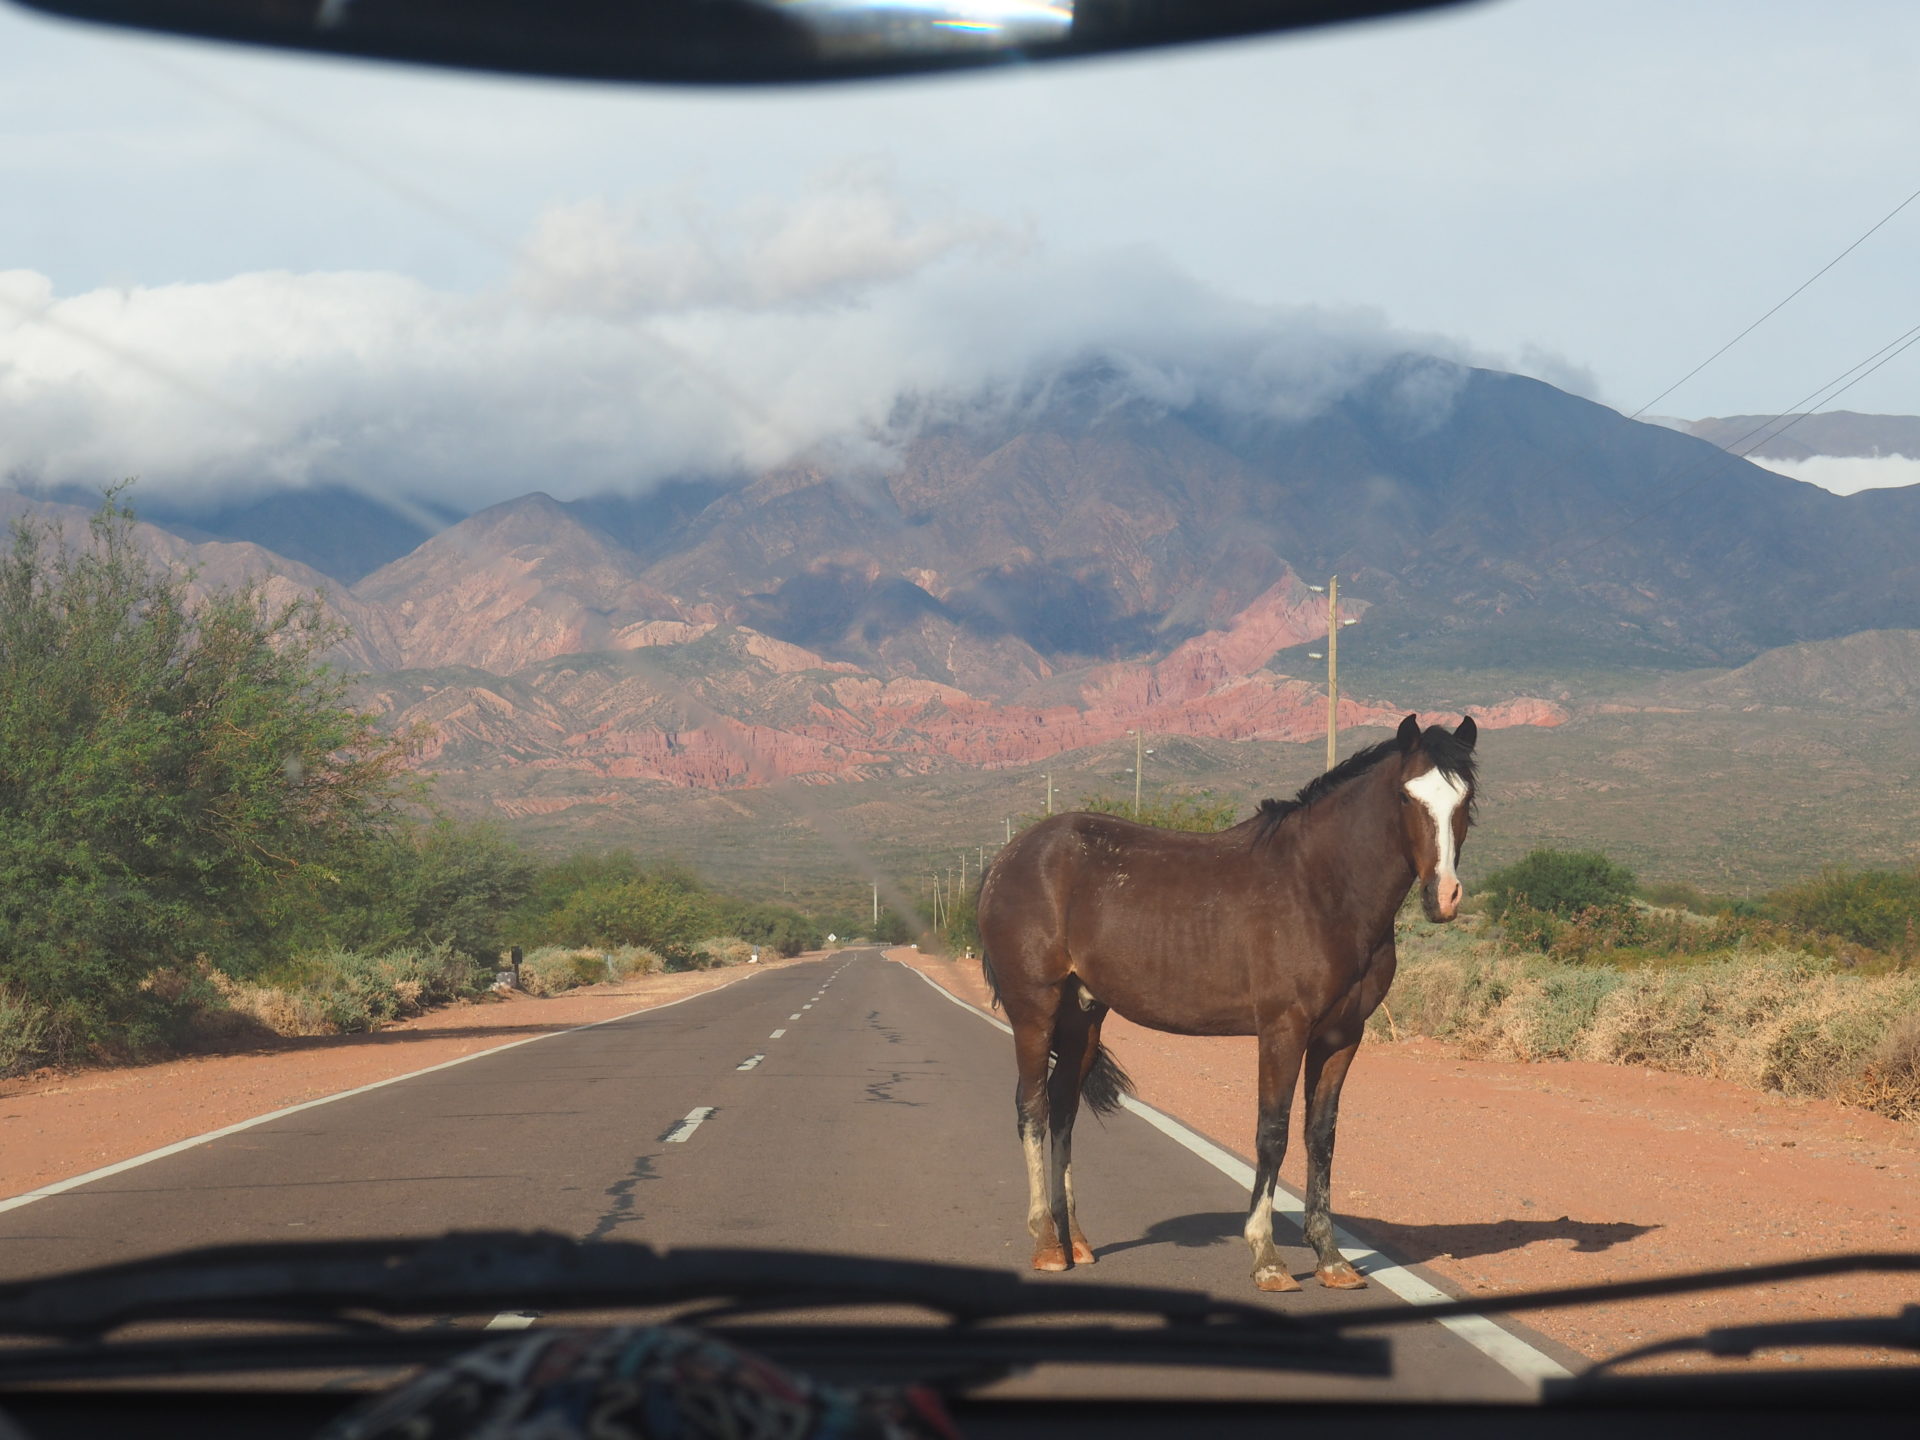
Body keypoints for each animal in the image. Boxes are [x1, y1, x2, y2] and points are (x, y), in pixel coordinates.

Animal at [975, 713, 1477, 1292]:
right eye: (1405, 795)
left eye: (1465, 798)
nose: (1443, 897)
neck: (1321, 887)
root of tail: (1009, 857)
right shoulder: (1283, 1030)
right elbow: (1273, 1133)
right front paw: (1267, 1258)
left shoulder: (1342, 1036)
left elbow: (1321, 1137)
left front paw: (1331, 1258)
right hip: (1035, 1009)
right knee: (1032, 1109)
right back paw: (1045, 1244)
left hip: (1083, 1016)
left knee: (1062, 1109)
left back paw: (1074, 1239)